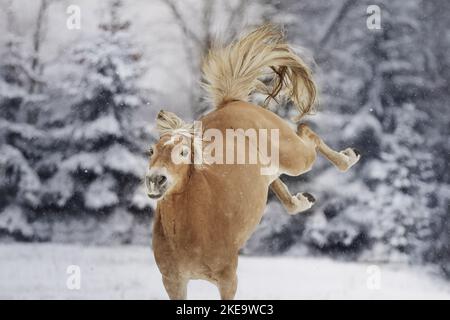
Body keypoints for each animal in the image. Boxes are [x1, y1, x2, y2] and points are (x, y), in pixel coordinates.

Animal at [146, 25, 360, 300]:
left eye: (184, 152)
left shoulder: (228, 279)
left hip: (295, 158)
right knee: (277, 182)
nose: (156, 179)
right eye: (150, 150)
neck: (190, 226)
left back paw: (349, 157)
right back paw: (303, 200)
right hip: (271, 169)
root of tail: (232, 102)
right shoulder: (174, 282)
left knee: (307, 132)